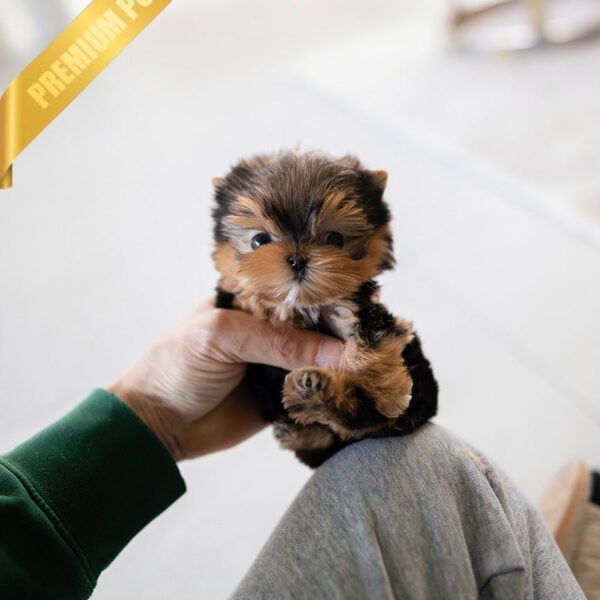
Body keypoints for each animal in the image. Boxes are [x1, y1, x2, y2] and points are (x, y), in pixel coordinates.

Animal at [212, 150, 438, 467]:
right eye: (259, 240)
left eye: (334, 239)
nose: (296, 259)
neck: (307, 303)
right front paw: (263, 302)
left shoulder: (356, 307)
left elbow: (374, 335)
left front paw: (385, 393)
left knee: (363, 420)